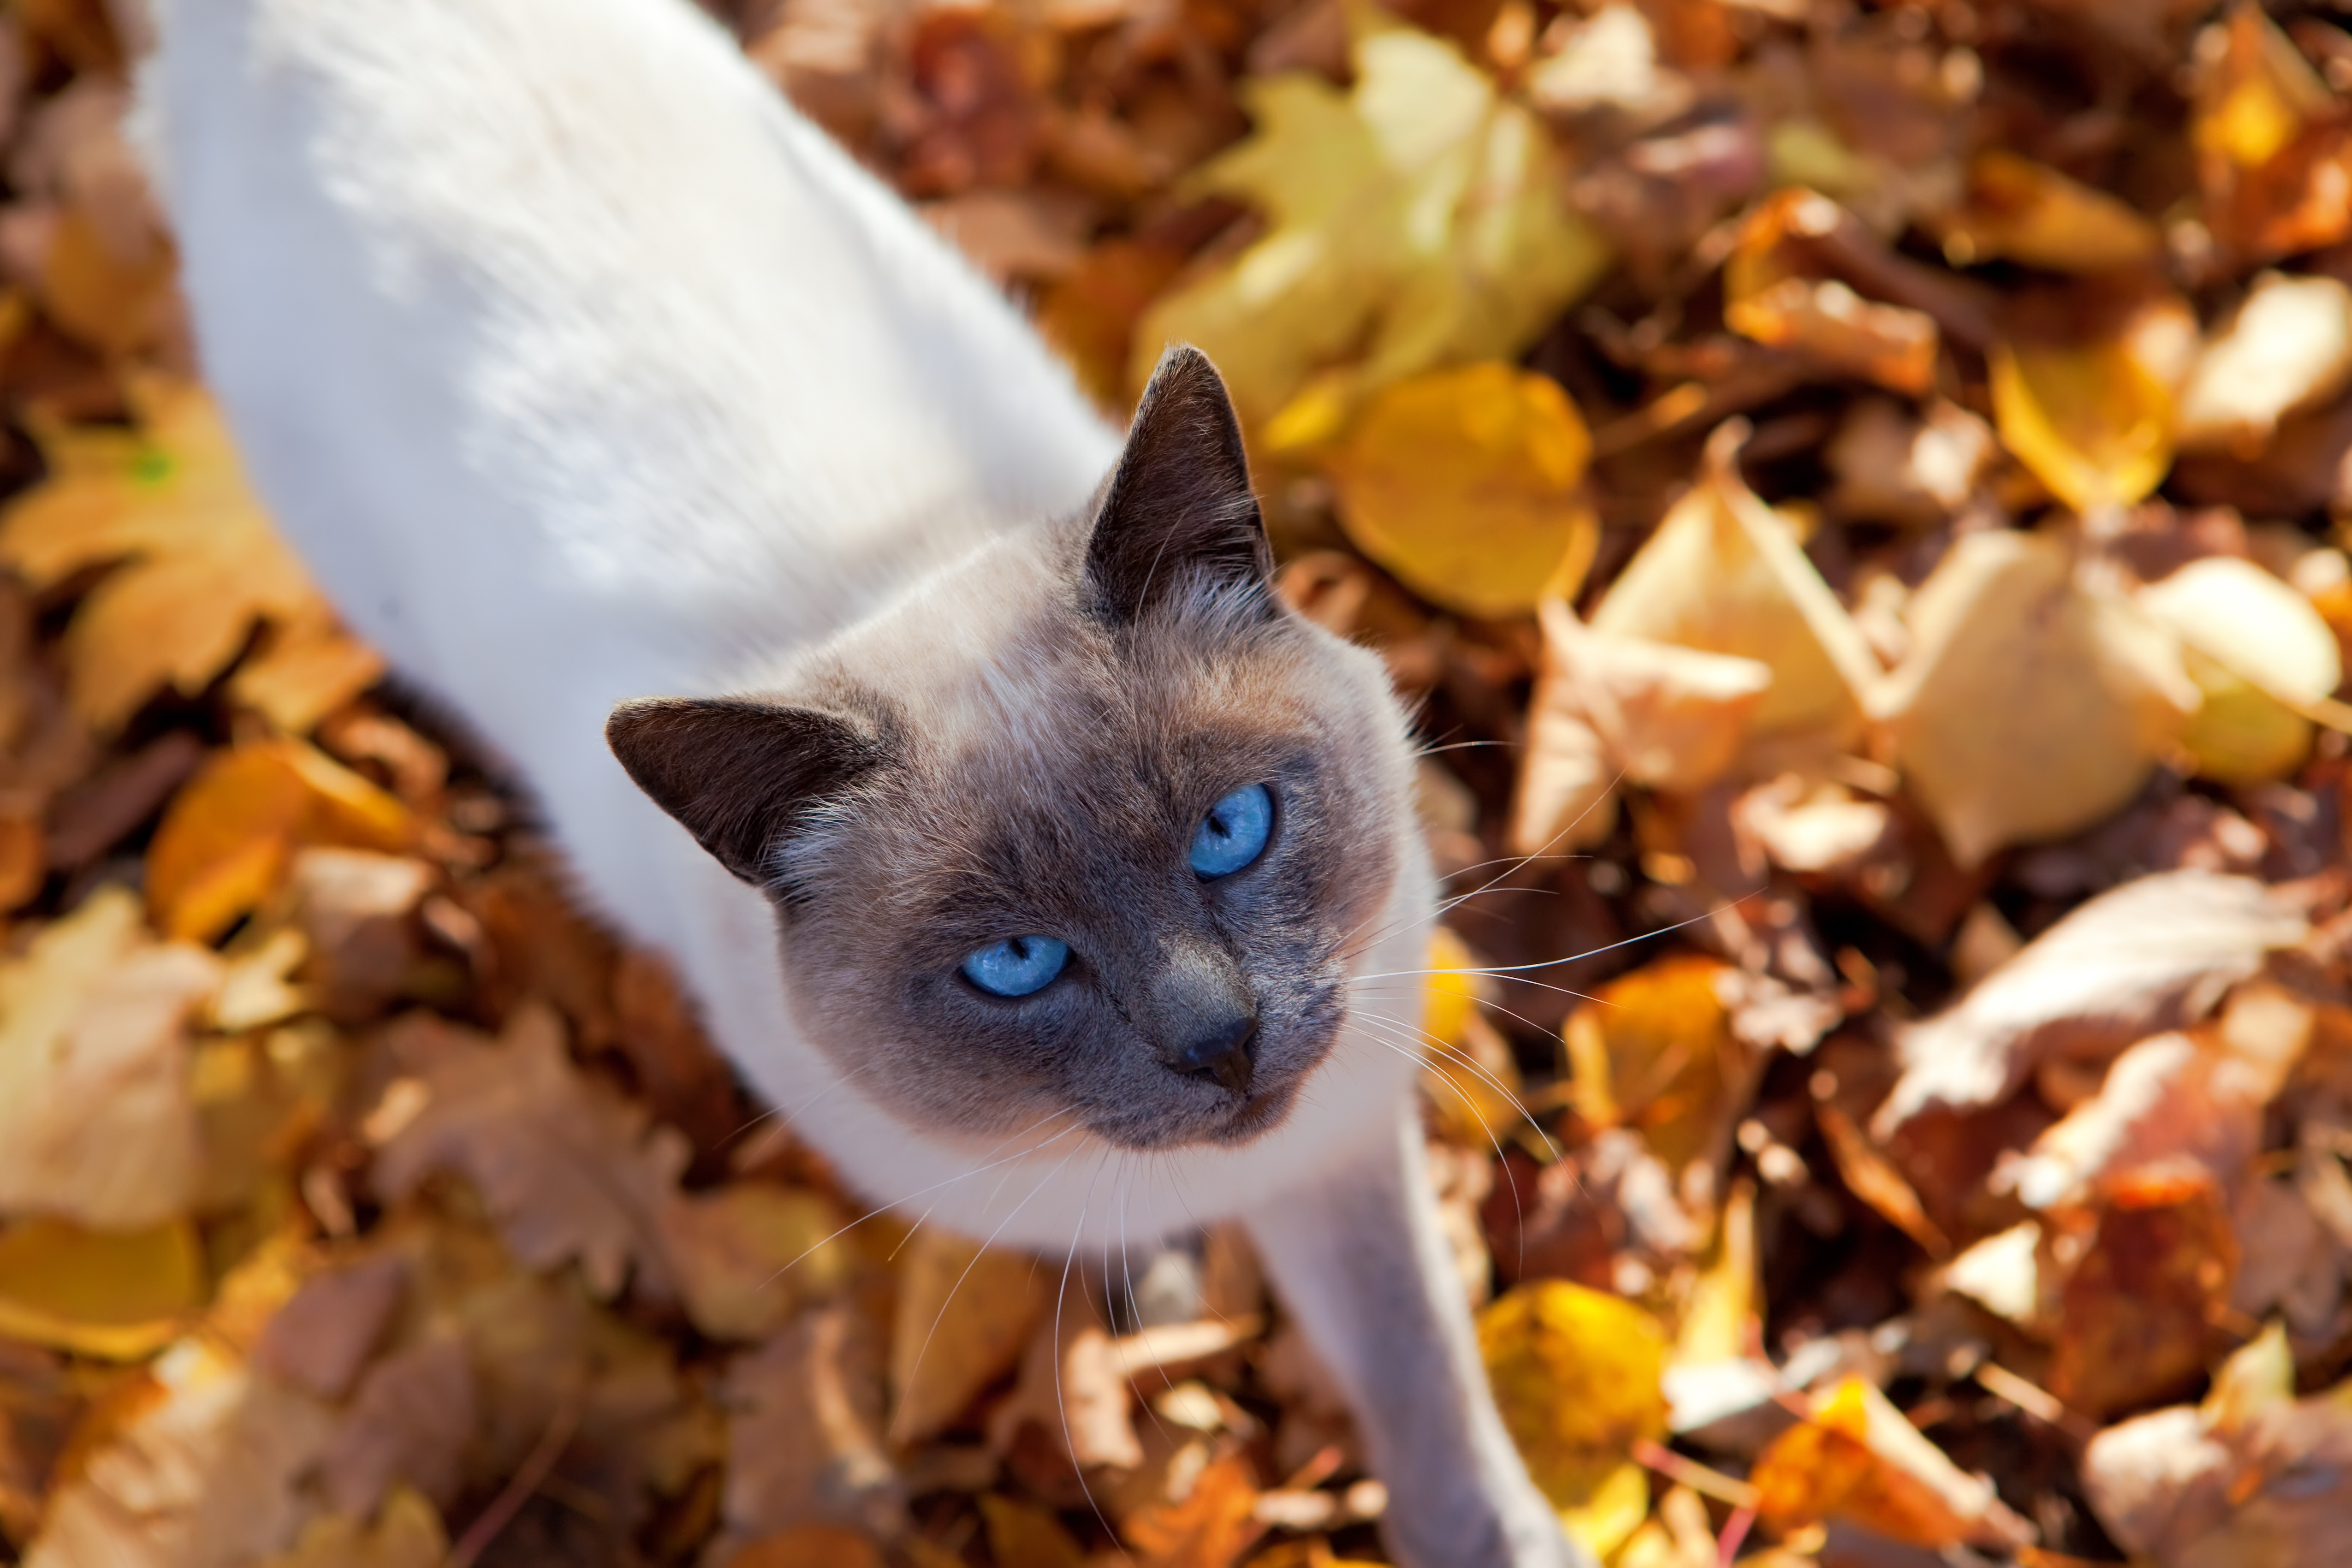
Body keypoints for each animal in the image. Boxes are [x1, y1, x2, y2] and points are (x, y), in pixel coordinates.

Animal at [142, 3, 1580, 1568]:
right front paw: (1160, 1276)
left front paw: (1498, 1539)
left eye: (1227, 832)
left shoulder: (1339, 1131)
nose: (1220, 1045)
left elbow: (1419, 1370)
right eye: (1014, 964)